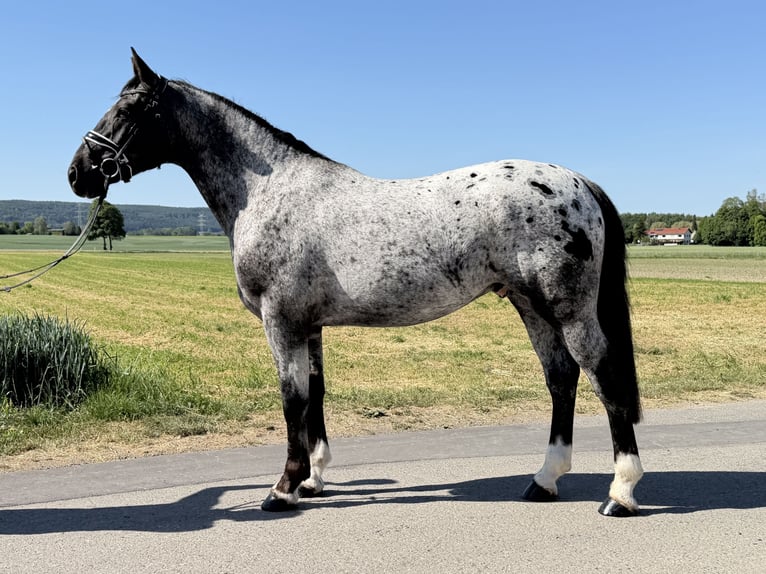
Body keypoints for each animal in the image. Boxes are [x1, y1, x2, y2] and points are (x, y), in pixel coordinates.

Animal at [68, 49, 644, 517]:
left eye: (129, 110)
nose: (78, 173)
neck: (271, 190)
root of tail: (578, 181)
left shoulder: (281, 321)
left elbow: (291, 398)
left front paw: (283, 489)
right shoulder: (309, 324)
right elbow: (316, 393)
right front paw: (314, 480)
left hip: (568, 308)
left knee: (603, 374)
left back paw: (620, 493)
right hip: (530, 304)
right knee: (561, 378)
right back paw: (544, 481)